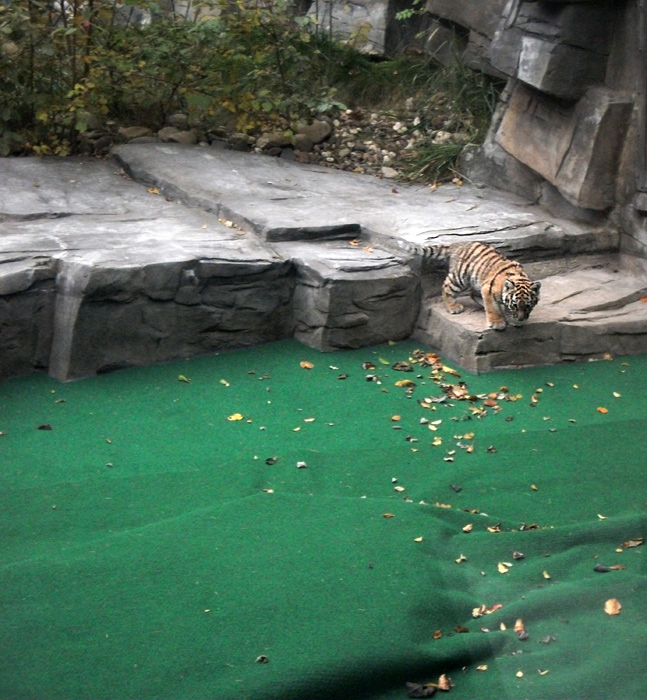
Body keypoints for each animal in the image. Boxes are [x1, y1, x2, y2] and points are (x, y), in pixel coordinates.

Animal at [410, 241, 540, 330]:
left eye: (528, 305)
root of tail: (457, 244)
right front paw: (497, 323)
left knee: (473, 294)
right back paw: (453, 307)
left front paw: (514, 320)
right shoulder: (488, 289)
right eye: (515, 305)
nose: (521, 318)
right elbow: (493, 308)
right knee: (446, 287)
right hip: (460, 277)